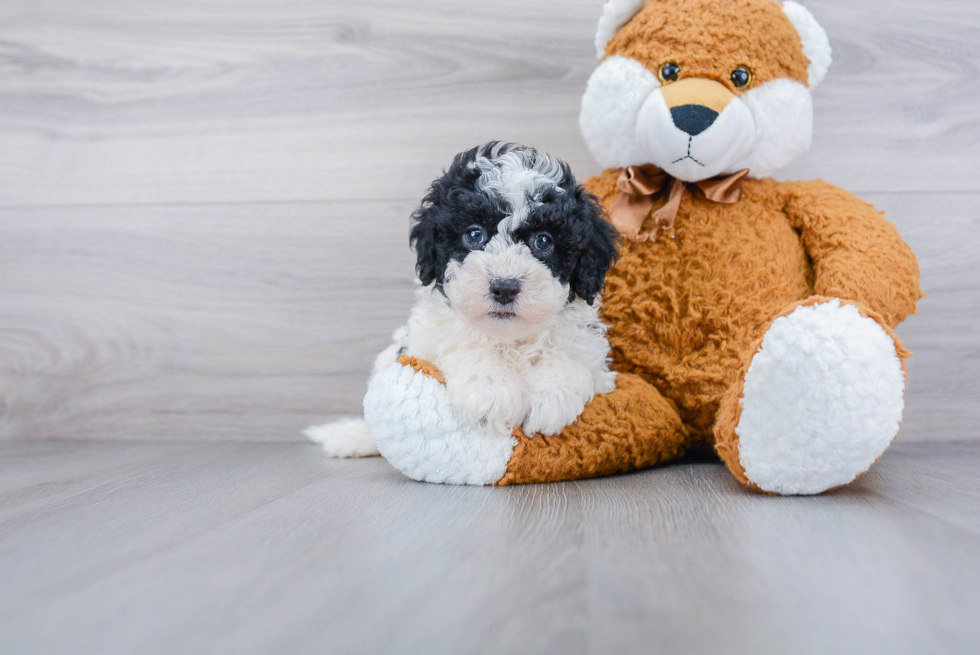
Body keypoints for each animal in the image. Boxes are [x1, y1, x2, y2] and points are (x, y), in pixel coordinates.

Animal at [306, 144, 616, 458]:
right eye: (474, 234)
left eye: (543, 241)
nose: (504, 287)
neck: (509, 340)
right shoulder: (428, 339)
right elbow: (467, 346)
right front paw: (491, 396)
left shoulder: (590, 354)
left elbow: (569, 360)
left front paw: (548, 398)